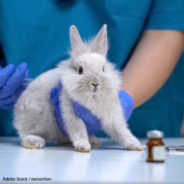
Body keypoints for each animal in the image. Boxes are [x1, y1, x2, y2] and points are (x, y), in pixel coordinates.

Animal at [13, 24, 142, 151]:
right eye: (80, 70)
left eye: (103, 69)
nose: (95, 83)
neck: (93, 98)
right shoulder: (70, 112)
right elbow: (78, 128)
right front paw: (83, 146)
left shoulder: (112, 115)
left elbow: (121, 131)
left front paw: (135, 145)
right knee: (24, 134)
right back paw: (35, 141)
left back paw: (92, 140)